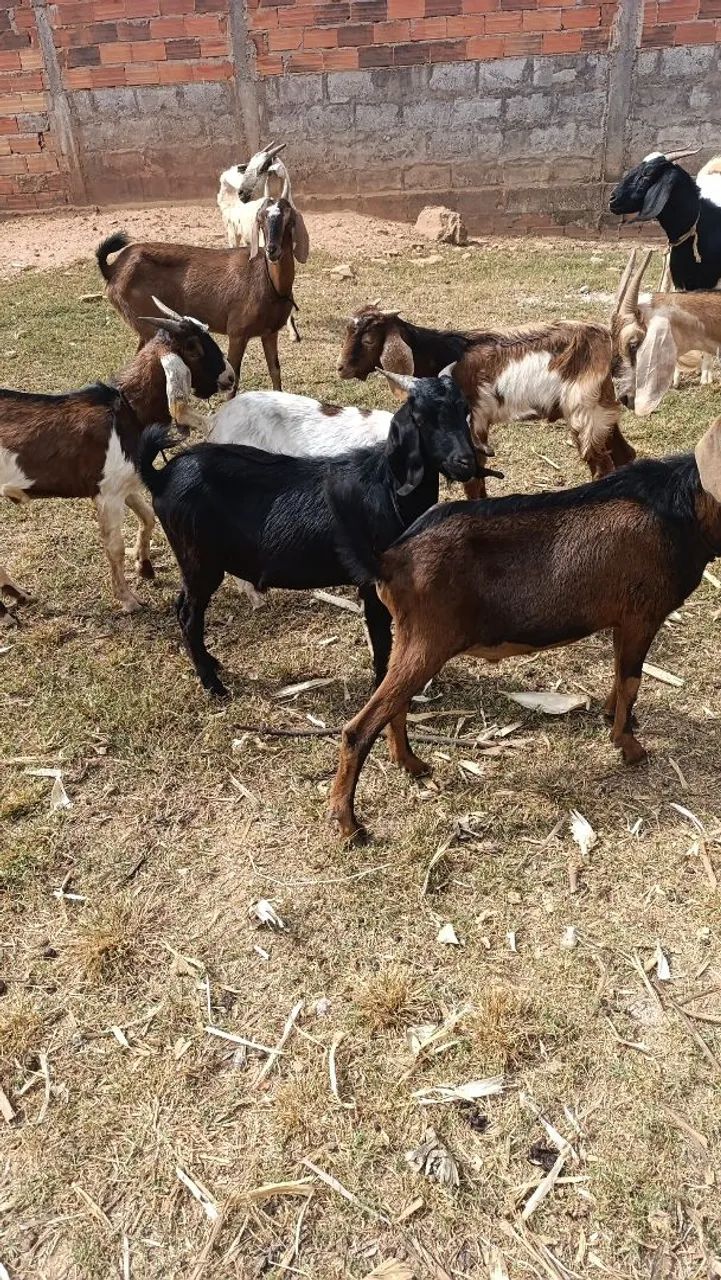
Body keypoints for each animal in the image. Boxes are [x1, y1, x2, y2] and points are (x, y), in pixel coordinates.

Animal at [0, 310, 233, 622]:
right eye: (193, 347)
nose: (230, 377)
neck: (127, 411)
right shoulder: (107, 494)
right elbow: (115, 548)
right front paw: (128, 599)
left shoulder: (128, 485)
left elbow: (148, 517)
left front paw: (144, 565)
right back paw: (6, 611)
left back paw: (19, 594)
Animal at [96, 197, 309, 395]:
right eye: (261, 218)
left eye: (288, 218)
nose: (272, 250)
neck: (269, 283)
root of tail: (113, 268)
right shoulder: (237, 333)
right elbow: (234, 381)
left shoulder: (270, 332)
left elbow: (275, 371)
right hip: (149, 325)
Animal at [138, 371, 497, 709]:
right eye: (422, 418)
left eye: (464, 411)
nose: (465, 462)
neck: (387, 486)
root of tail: (160, 476)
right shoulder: (372, 579)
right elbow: (381, 635)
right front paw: (381, 686)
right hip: (200, 560)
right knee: (188, 614)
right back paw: (214, 685)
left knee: (182, 606)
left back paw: (212, 664)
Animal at [328, 417, 721, 840]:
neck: (683, 509)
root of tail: (389, 559)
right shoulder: (642, 616)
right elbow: (631, 681)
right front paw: (630, 747)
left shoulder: (622, 620)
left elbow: (619, 676)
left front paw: (611, 717)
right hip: (427, 641)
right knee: (360, 727)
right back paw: (350, 826)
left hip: (411, 640)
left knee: (394, 705)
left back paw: (412, 765)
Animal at [337, 305, 634, 494]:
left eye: (368, 339)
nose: (340, 368)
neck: (441, 353)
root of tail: (607, 340)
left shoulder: (473, 423)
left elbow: (473, 479)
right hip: (601, 409)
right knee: (624, 454)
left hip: (584, 411)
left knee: (601, 465)